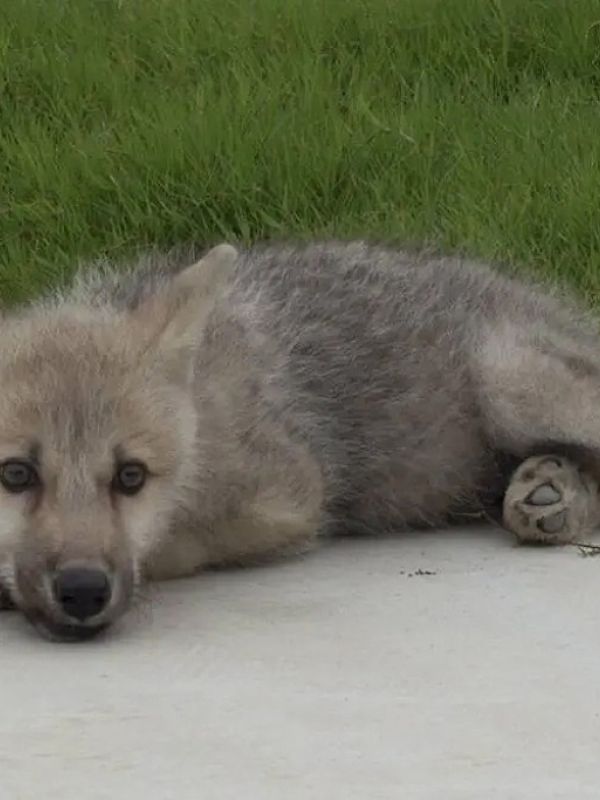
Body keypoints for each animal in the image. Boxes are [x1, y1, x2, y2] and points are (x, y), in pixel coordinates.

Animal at [0, 239, 599, 642]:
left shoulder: (291, 500)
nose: (82, 592)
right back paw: (550, 491)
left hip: (515, 384)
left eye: (131, 477)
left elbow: (170, 547)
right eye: (16, 475)